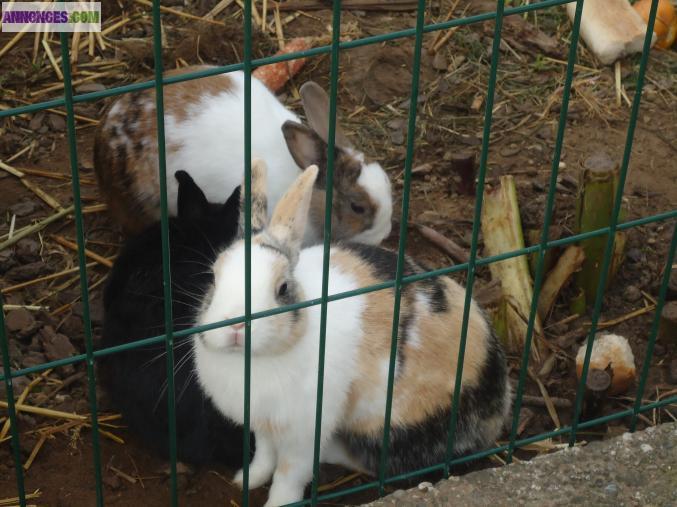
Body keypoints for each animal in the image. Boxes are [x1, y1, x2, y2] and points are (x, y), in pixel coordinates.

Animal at [193, 159, 512, 507]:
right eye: (213, 279)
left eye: (283, 288)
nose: (235, 324)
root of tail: (500, 406)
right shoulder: (263, 423)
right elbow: (264, 455)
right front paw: (246, 480)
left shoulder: (305, 431)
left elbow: (289, 475)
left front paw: (278, 502)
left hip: (391, 426)